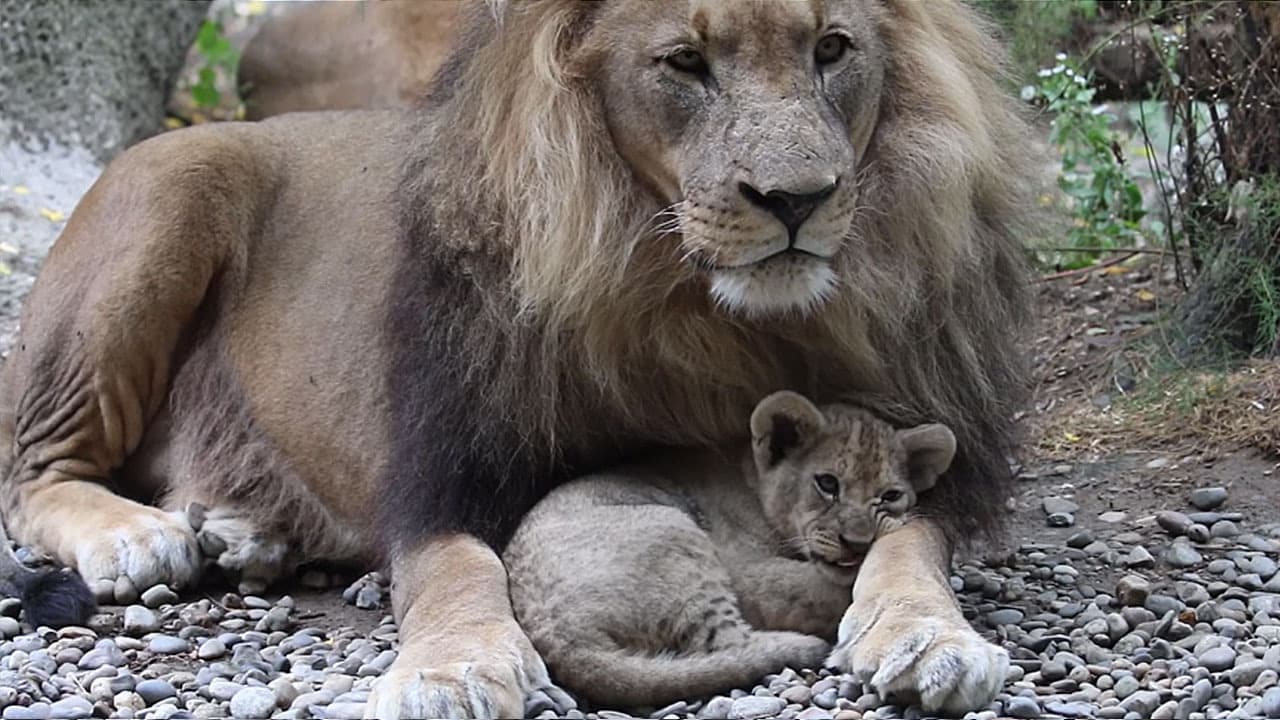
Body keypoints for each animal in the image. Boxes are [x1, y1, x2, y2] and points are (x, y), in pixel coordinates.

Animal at [0, 2, 1034, 712]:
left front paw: (926, 633)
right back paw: (141, 536)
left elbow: (910, 540)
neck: (704, 314)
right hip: (170, 189)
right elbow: (463, 570)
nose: (798, 200)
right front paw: (456, 665)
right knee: (34, 471)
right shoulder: (447, 472)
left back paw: (244, 531)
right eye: (685, 62)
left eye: (831, 49)